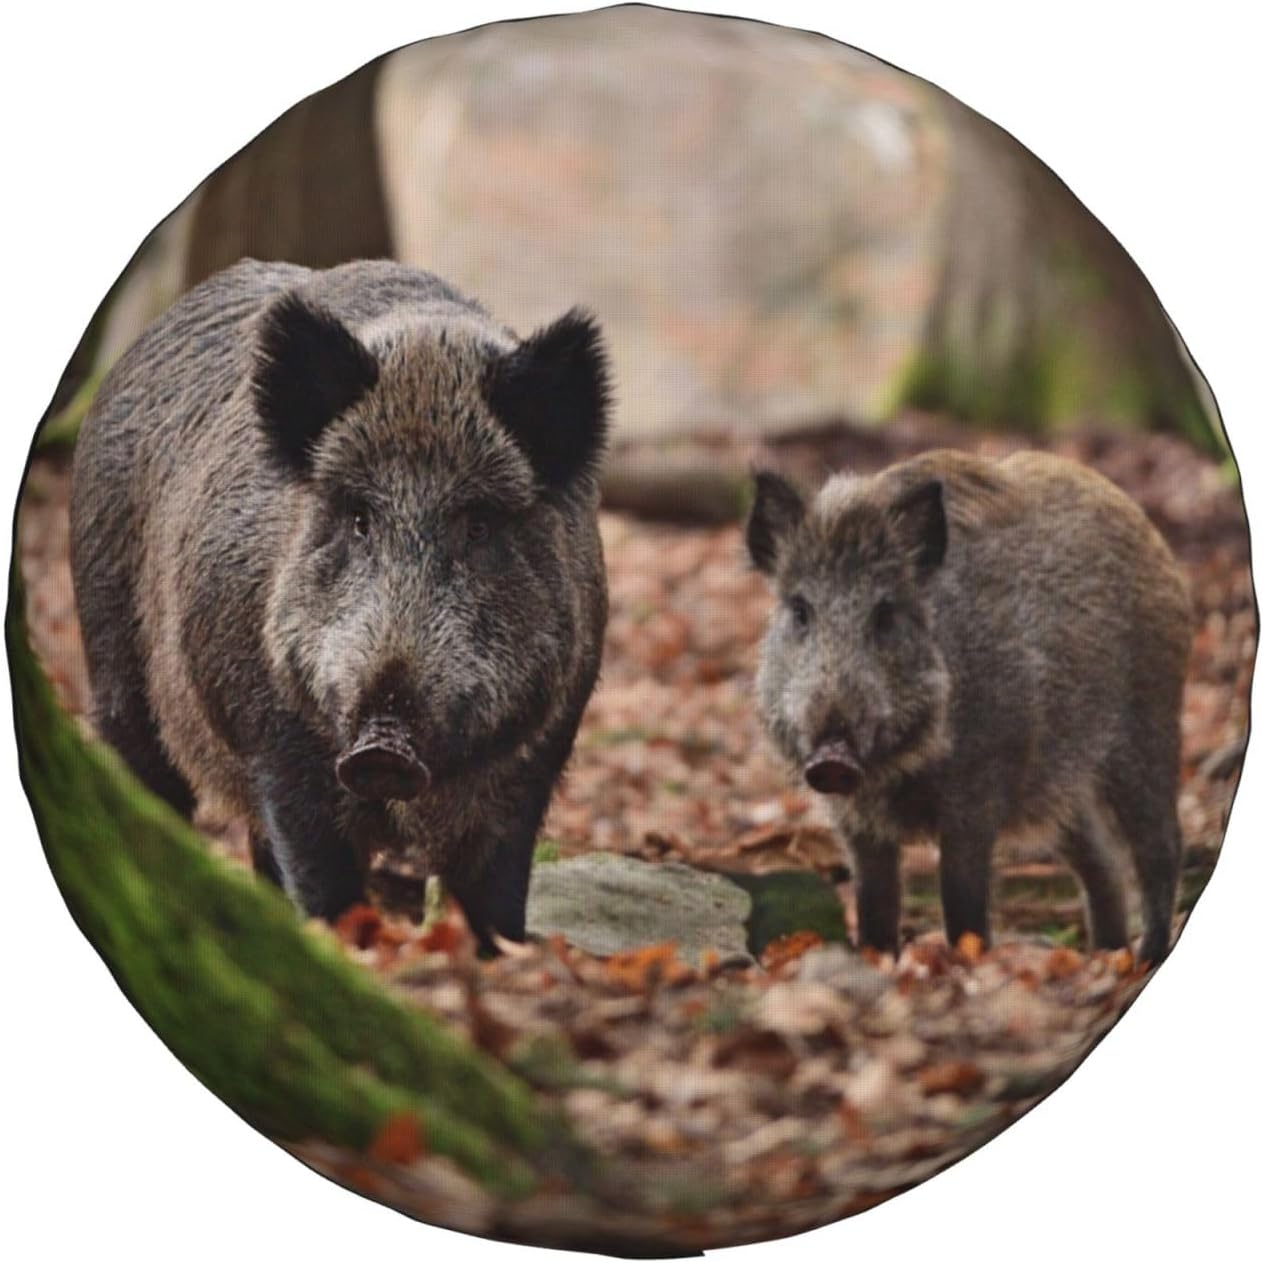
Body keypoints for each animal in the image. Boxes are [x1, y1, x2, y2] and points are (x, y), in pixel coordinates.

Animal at [70, 258, 610, 951]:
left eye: (479, 525)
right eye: (358, 518)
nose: (384, 746)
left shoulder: (540, 749)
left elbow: (494, 890)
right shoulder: (274, 735)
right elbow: (320, 872)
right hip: (110, 648)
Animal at [746, 449, 1192, 963]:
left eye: (885, 613)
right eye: (800, 611)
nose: (832, 757)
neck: (898, 772)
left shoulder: (978, 793)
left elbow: (962, 900)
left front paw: (967, 962)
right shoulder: (855, 822)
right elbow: (875, 905)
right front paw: (879, 961)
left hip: (1149, 725)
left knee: (1160, 847)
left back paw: (1145, 957)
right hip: (1061, 785)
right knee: (1103, 862)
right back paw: (1107, 955)